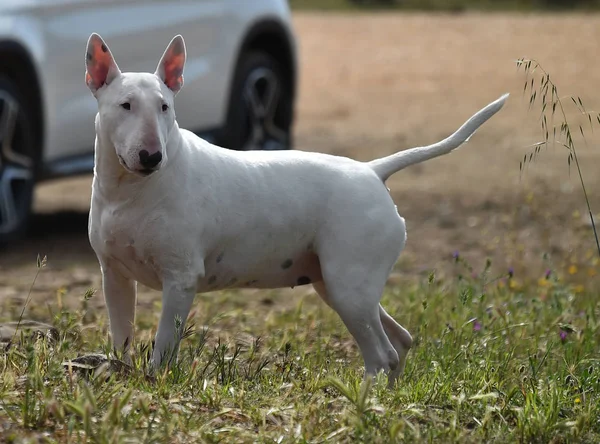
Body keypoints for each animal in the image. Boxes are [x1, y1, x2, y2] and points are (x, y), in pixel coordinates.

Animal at [83, 33, 506, 386]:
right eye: (125, 105)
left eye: (165, 107)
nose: (152, 156)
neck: (131, 191)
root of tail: (372, 171)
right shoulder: (114, 276)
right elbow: (121, 334)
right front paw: (119, 374)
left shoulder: (180, 278)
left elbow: (164, 345)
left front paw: (154, 382)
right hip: (338, 284)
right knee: (400, 340)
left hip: (348, 285)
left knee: (381, 353)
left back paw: (362, 399)